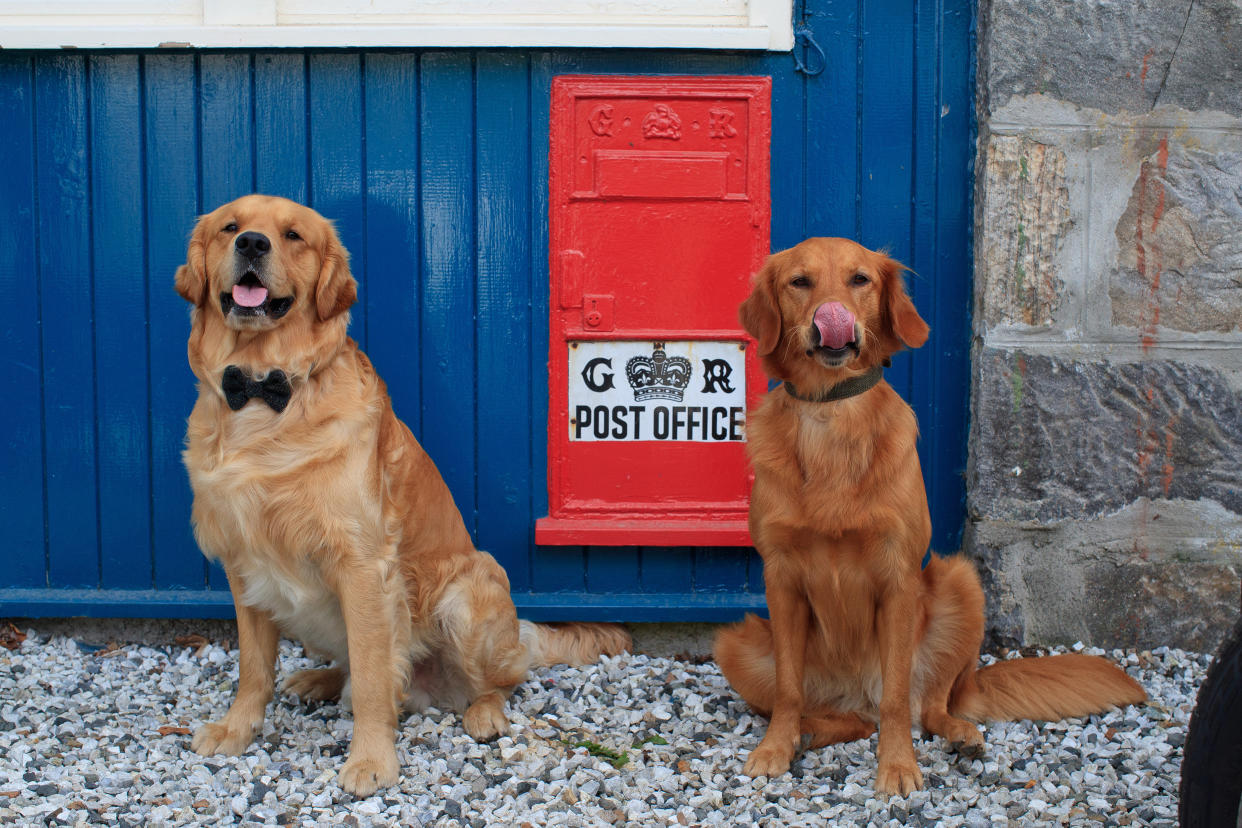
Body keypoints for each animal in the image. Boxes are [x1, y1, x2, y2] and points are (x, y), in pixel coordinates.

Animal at [177, 194, 630, 794]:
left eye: (294, 235)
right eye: (230, 226)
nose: (252, 243)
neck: (261, 390)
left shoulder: (363, 566)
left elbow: (373, 678)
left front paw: (371, 759)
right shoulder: (243, 563)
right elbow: (253, 669)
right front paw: (236, 729)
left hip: (469, 594)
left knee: (500, 681)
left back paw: (484, 713)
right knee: (351, 665)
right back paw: (318, 679)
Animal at [715, 238, 1147, 794]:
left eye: (860, 280)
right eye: (799, 282)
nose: (831, 319)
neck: (832, 413)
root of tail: (858, 694)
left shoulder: (898, 576)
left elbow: (900, 697)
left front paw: (898, 766)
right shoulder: (782, 580)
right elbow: (789, 689)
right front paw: (774, 749)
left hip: (959, 583)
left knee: (928, 706)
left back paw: (962, 735)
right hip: (738, 641)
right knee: (844, 716)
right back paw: (807, 733)